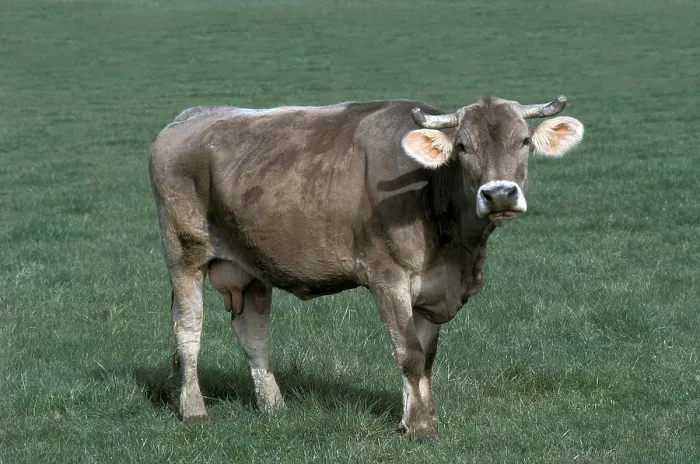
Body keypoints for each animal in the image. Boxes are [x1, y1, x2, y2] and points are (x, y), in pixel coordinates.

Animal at [148, 96, 584, 439]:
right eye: (462, 146)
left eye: (523, 141)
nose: (499, 194)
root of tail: (191, 116)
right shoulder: (387, 278)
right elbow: (408, 353)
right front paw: (420, 428)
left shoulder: (434, 289)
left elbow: (426, 357)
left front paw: (420, 418)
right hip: (183, 252)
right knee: (188, 328)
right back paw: (194, 410)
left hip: (252, 265)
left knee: (254, 334)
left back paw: (273, 406)